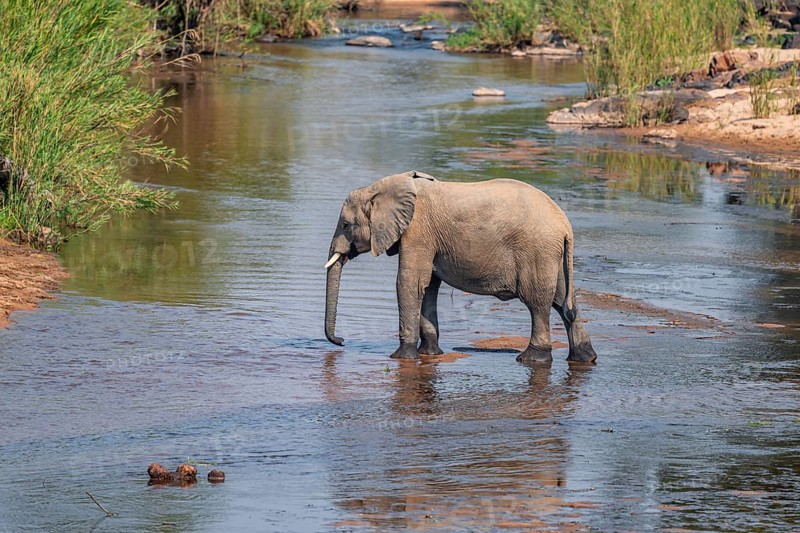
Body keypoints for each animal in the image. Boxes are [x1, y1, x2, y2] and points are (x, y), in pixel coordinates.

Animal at [324, 171, 597, 364]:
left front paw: (402, 357)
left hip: (537, 250)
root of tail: (565, 224)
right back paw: (584, 357)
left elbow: (409, 282)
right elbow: (429, 286)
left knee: (537, 301)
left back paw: (531, 358)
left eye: (346, 225)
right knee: (563, 301)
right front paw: (430, 353)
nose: (341, 341)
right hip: (553, 255)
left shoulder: (418, 230)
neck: (382, 187)